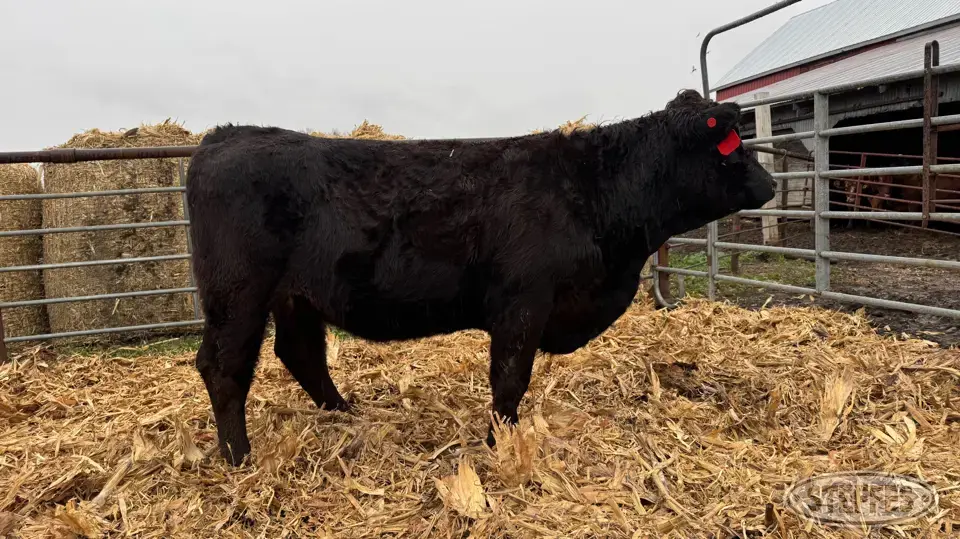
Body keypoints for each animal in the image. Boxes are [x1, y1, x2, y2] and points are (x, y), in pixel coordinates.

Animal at [184, 89, 776, 466]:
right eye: (731, 146)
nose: (770, 184)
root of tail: (225, 135)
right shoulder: (522, 303)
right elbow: (510, 378)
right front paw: (500, 441)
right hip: (238, 293)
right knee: (224, 366)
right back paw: (238, 458)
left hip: (295, 297)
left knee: (300, 352)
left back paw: (344, 412)